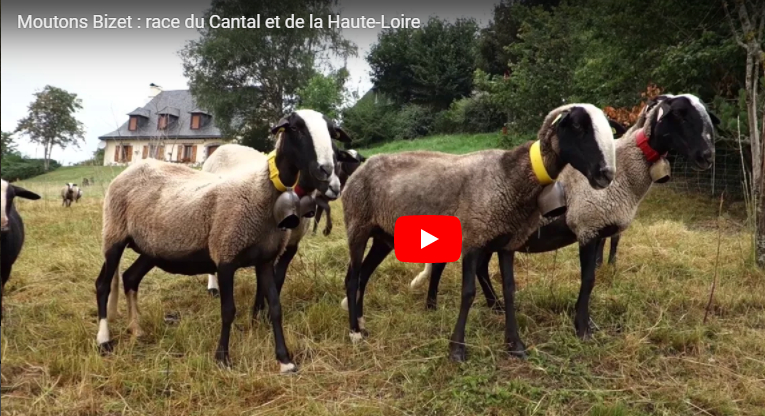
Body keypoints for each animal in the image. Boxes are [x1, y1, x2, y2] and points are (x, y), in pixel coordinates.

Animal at [95, 109, 352, 374]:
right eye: (296, 128)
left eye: (331, 132)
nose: (326, 171)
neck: (262, 188)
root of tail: (134, 168)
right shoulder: (226, 254)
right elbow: (228, 311)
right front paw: (222, 358)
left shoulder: (266, 259)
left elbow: (275, 307)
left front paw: (284, 360)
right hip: (114, 234)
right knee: (103, 285)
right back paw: (104, 341)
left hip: (151, 247)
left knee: (129, 278)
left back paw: (136, 329)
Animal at [341, 103, 617, 362]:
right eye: (579, 126)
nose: (607, 174)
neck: (510, 176)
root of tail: (361, 167)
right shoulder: (474, 237)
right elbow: (468, 293)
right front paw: (456, 349)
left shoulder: (508, 242)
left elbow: (509, 289)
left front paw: (515, 345)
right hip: (357, 224)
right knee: (352, 277)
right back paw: (354, 332)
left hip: (382, 236)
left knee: (364, 274)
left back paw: (362, 323)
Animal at [408, 94, 719, 342]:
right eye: (680, 114)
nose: (707, 156)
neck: (627, 170)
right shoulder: (587, 226)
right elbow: (588, 279)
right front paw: (582, 328)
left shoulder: (600, 228)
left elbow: (595, 272)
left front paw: (587, 322)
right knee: (441, 264)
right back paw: (432, 305)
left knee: (481, 267)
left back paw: (494, 305)